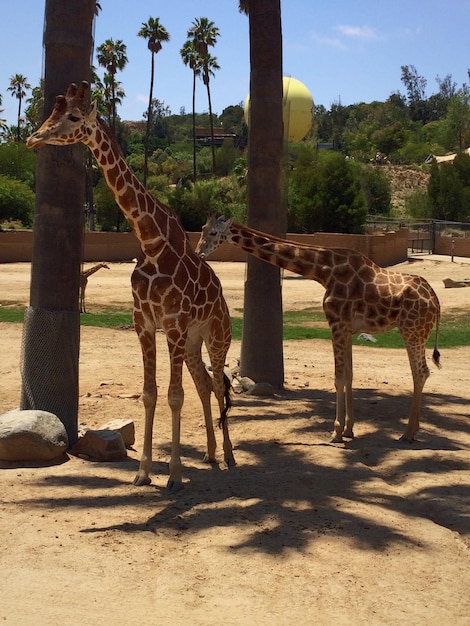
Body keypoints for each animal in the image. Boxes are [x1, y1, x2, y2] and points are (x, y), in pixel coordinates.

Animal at [26, 81, 235, 488]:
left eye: (72, 116)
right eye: (51, 113)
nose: (33, 138)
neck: (151, 244)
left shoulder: (172, 324)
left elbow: (173, 395)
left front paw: (173, 475)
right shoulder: (145, 324)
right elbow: (150, 394)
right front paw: (143, 473)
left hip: (216, 335)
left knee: (218, 385)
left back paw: (231, 457)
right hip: (193, 341)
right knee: (204, 384)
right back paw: (210, 454)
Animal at [196, 217, 440, 442]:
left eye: (214, 232)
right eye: (202, 229)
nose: (199, 252)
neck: (324, 271)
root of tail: (436, 302)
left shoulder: (336, 324)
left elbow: (338, 377)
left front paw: (336, 432)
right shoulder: (347, 329)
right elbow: (349, 375)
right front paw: (349, 429)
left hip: (412, 331)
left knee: (421, 372)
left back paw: (408, 433)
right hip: (417, 332)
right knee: (421, 372)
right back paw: (413, 430)